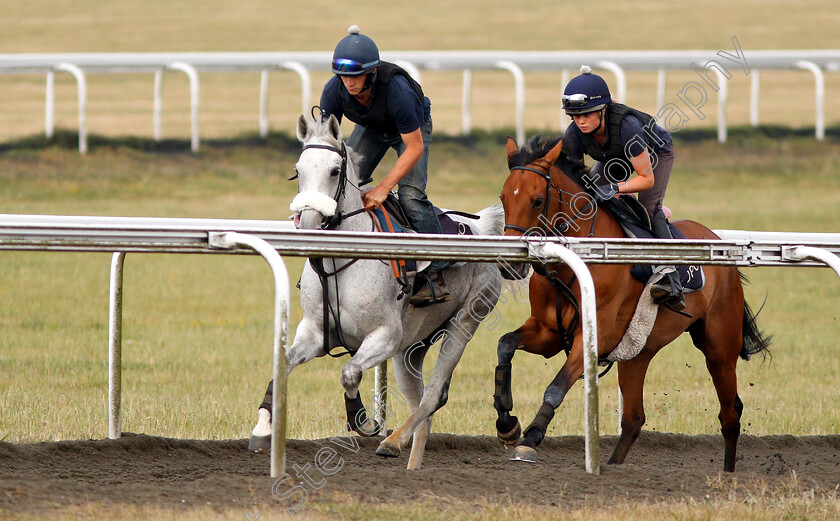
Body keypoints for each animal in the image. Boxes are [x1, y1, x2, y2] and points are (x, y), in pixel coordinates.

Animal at [246, 111, 502, 470]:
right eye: (298, 169)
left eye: (334, 170)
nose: (309, 224)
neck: (341, 261)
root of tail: (479, 226)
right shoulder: (315, 332)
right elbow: (285, 362)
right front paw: (263, 426)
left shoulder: (385, 335)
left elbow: (350, 372)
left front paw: (364, 420)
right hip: (412, 348)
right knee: (421, 406)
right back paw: (411, 463)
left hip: (465, 320)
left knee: (434, 394)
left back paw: (393, 441)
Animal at [496, 135, 772, 472]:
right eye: (503, 198)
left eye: (537, 200)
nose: (509, 265)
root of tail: (716, 240)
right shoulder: (548, 331)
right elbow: (505, 344)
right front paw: (507, 423)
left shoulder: (596, 336)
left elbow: (556, 386)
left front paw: (530, 439)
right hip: (637, 353)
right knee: (633, 419)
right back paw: (613, 465)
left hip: (720, 347)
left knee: (730, 414)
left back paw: (728, 475)